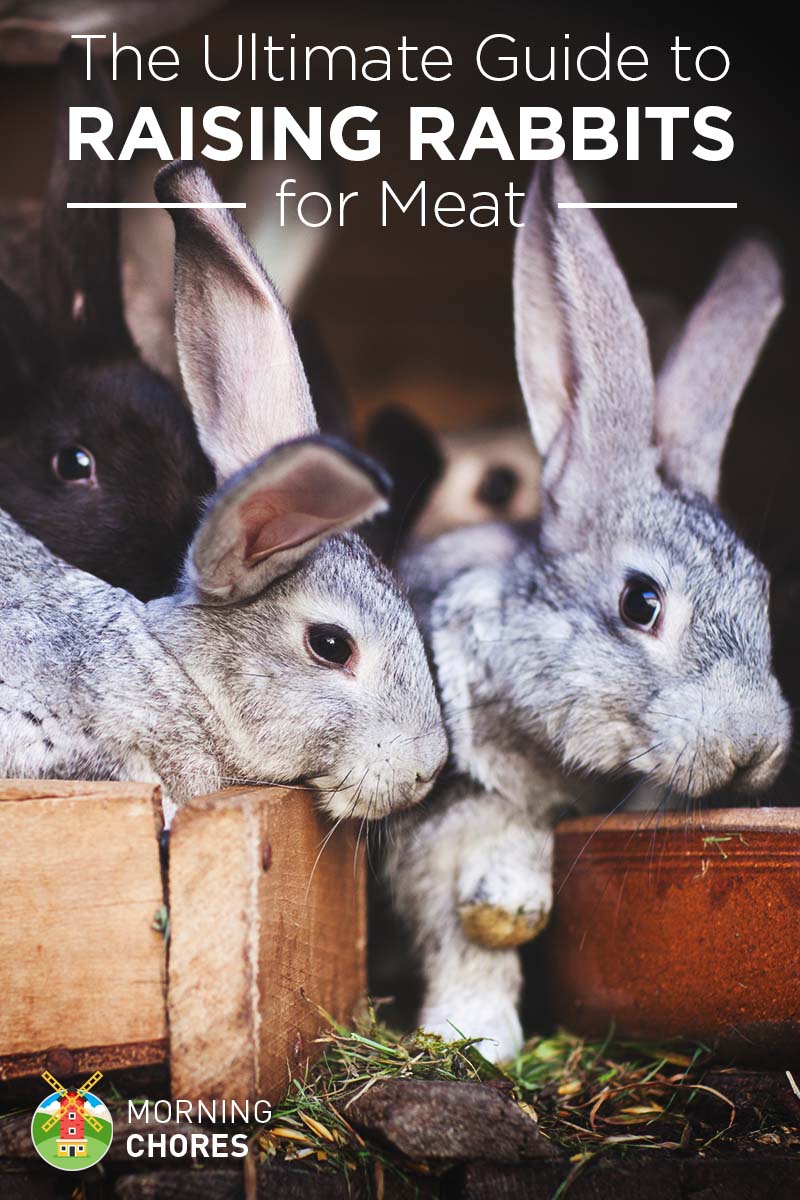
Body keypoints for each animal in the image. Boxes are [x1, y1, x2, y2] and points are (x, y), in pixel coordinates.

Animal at [384, 160, 791, 1062]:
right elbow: (467, 933)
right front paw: (476, 1032)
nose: (752, 746)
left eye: (763, 590)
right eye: (641, 603)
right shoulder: (442, 817)